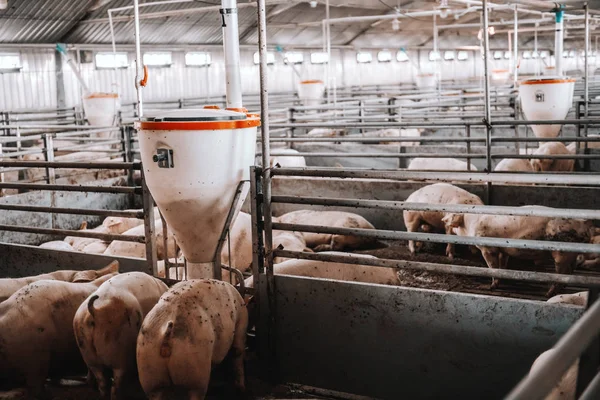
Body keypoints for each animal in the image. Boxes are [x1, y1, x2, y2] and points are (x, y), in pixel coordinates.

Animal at [442, 209, 592, 296]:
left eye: (452, 217)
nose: (443, 220)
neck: (469, 223)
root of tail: (584, 225)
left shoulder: (488, 248)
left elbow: (492, 267)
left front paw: (492, 287)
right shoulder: (503, 250)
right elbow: (502, 265)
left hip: (561, 253)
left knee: (562, 273)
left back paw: (548, 294)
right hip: (570, 255)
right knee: (570, 271)